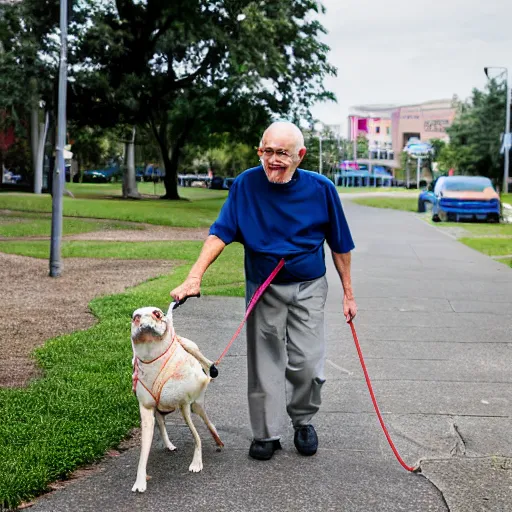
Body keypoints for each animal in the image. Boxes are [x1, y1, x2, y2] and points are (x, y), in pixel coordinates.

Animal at [130, 304, 222, 492]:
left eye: (157, 314)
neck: (153, 357)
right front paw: (140, 481)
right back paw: (169, 444)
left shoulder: (185, 405)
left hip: (196, 404)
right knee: (161, 422)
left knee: (207, 420)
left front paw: (196, 462)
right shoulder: (147, 410)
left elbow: (197, 437)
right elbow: (144, 452)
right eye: (134, 317)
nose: (143, 321)